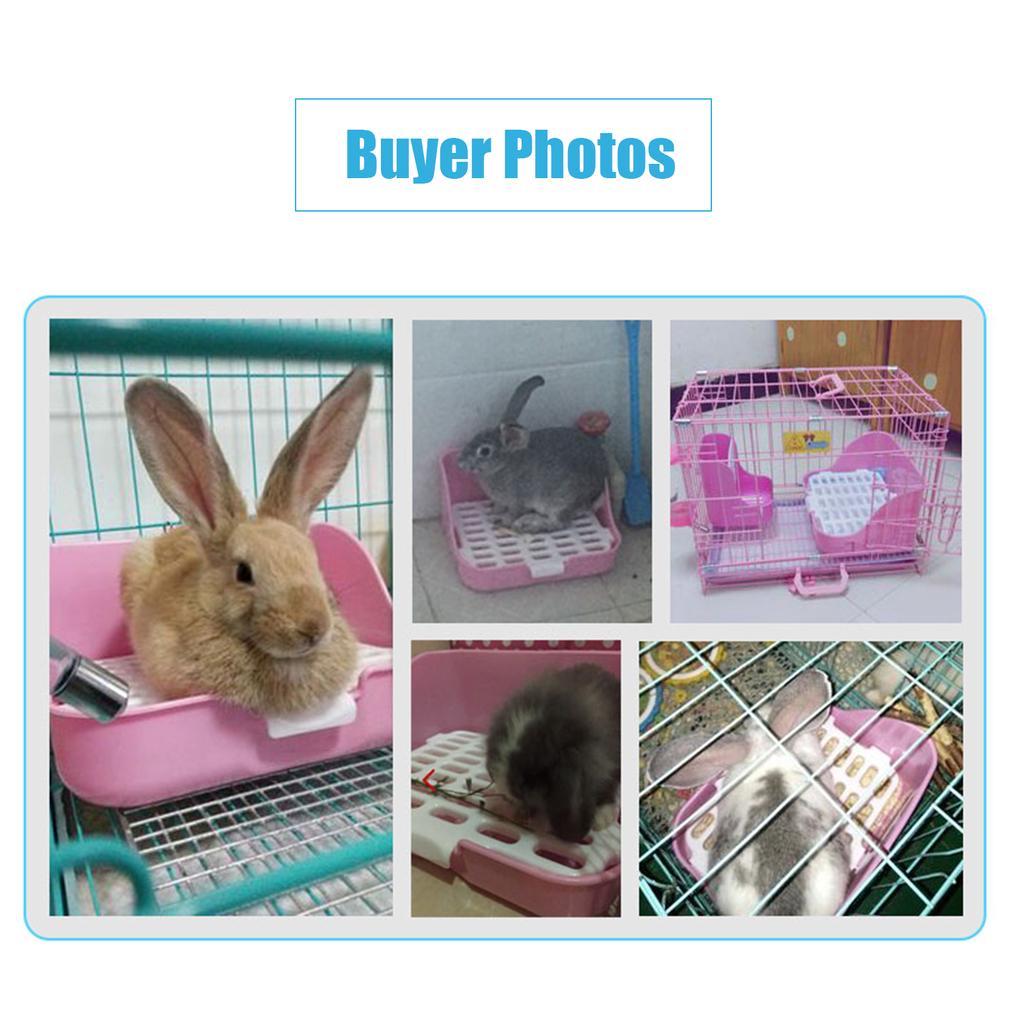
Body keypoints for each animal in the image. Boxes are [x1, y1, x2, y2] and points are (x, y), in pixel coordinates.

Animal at [457, 375, 609, 533]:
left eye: (485, 451)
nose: (460, 463)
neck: (503, 465)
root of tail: (595, 495)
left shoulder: (518, 501)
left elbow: (513, 513)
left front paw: (504, 521)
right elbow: (499, 507)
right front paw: (493, 512)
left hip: (559, 502)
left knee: (559, 524)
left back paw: (529, 525)